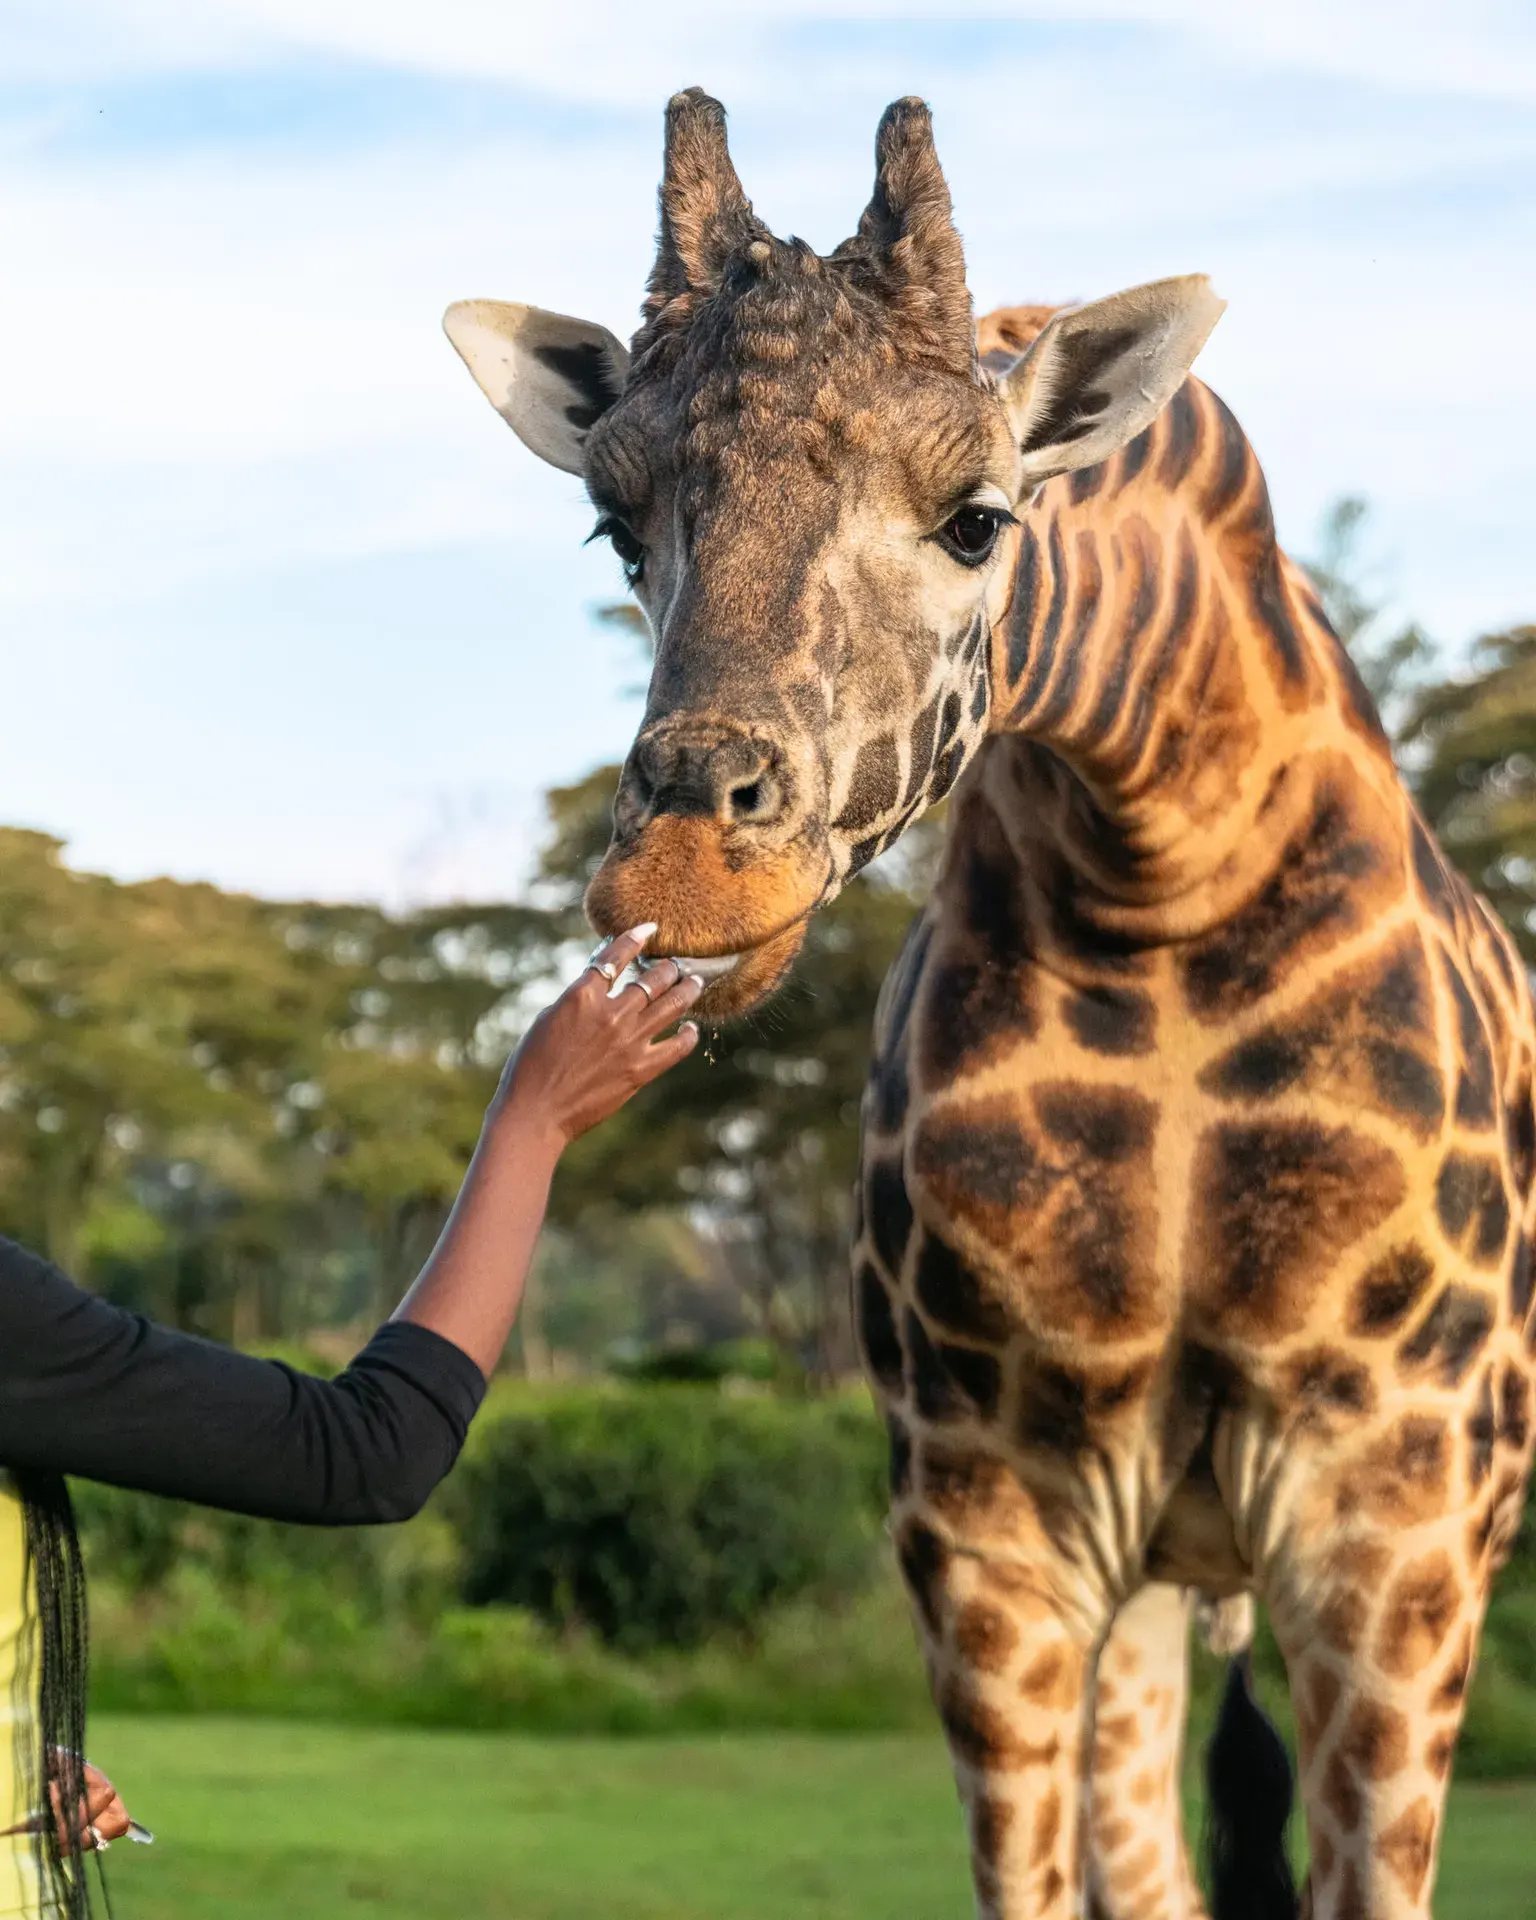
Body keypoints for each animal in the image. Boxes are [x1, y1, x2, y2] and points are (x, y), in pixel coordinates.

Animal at [444, 89, 1536, 1920]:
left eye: (978, 518)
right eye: (617, 528)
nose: (688, 866)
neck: (1161, 883)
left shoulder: (1397, 1513)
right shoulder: (988, 1520)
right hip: (1155, 1586)